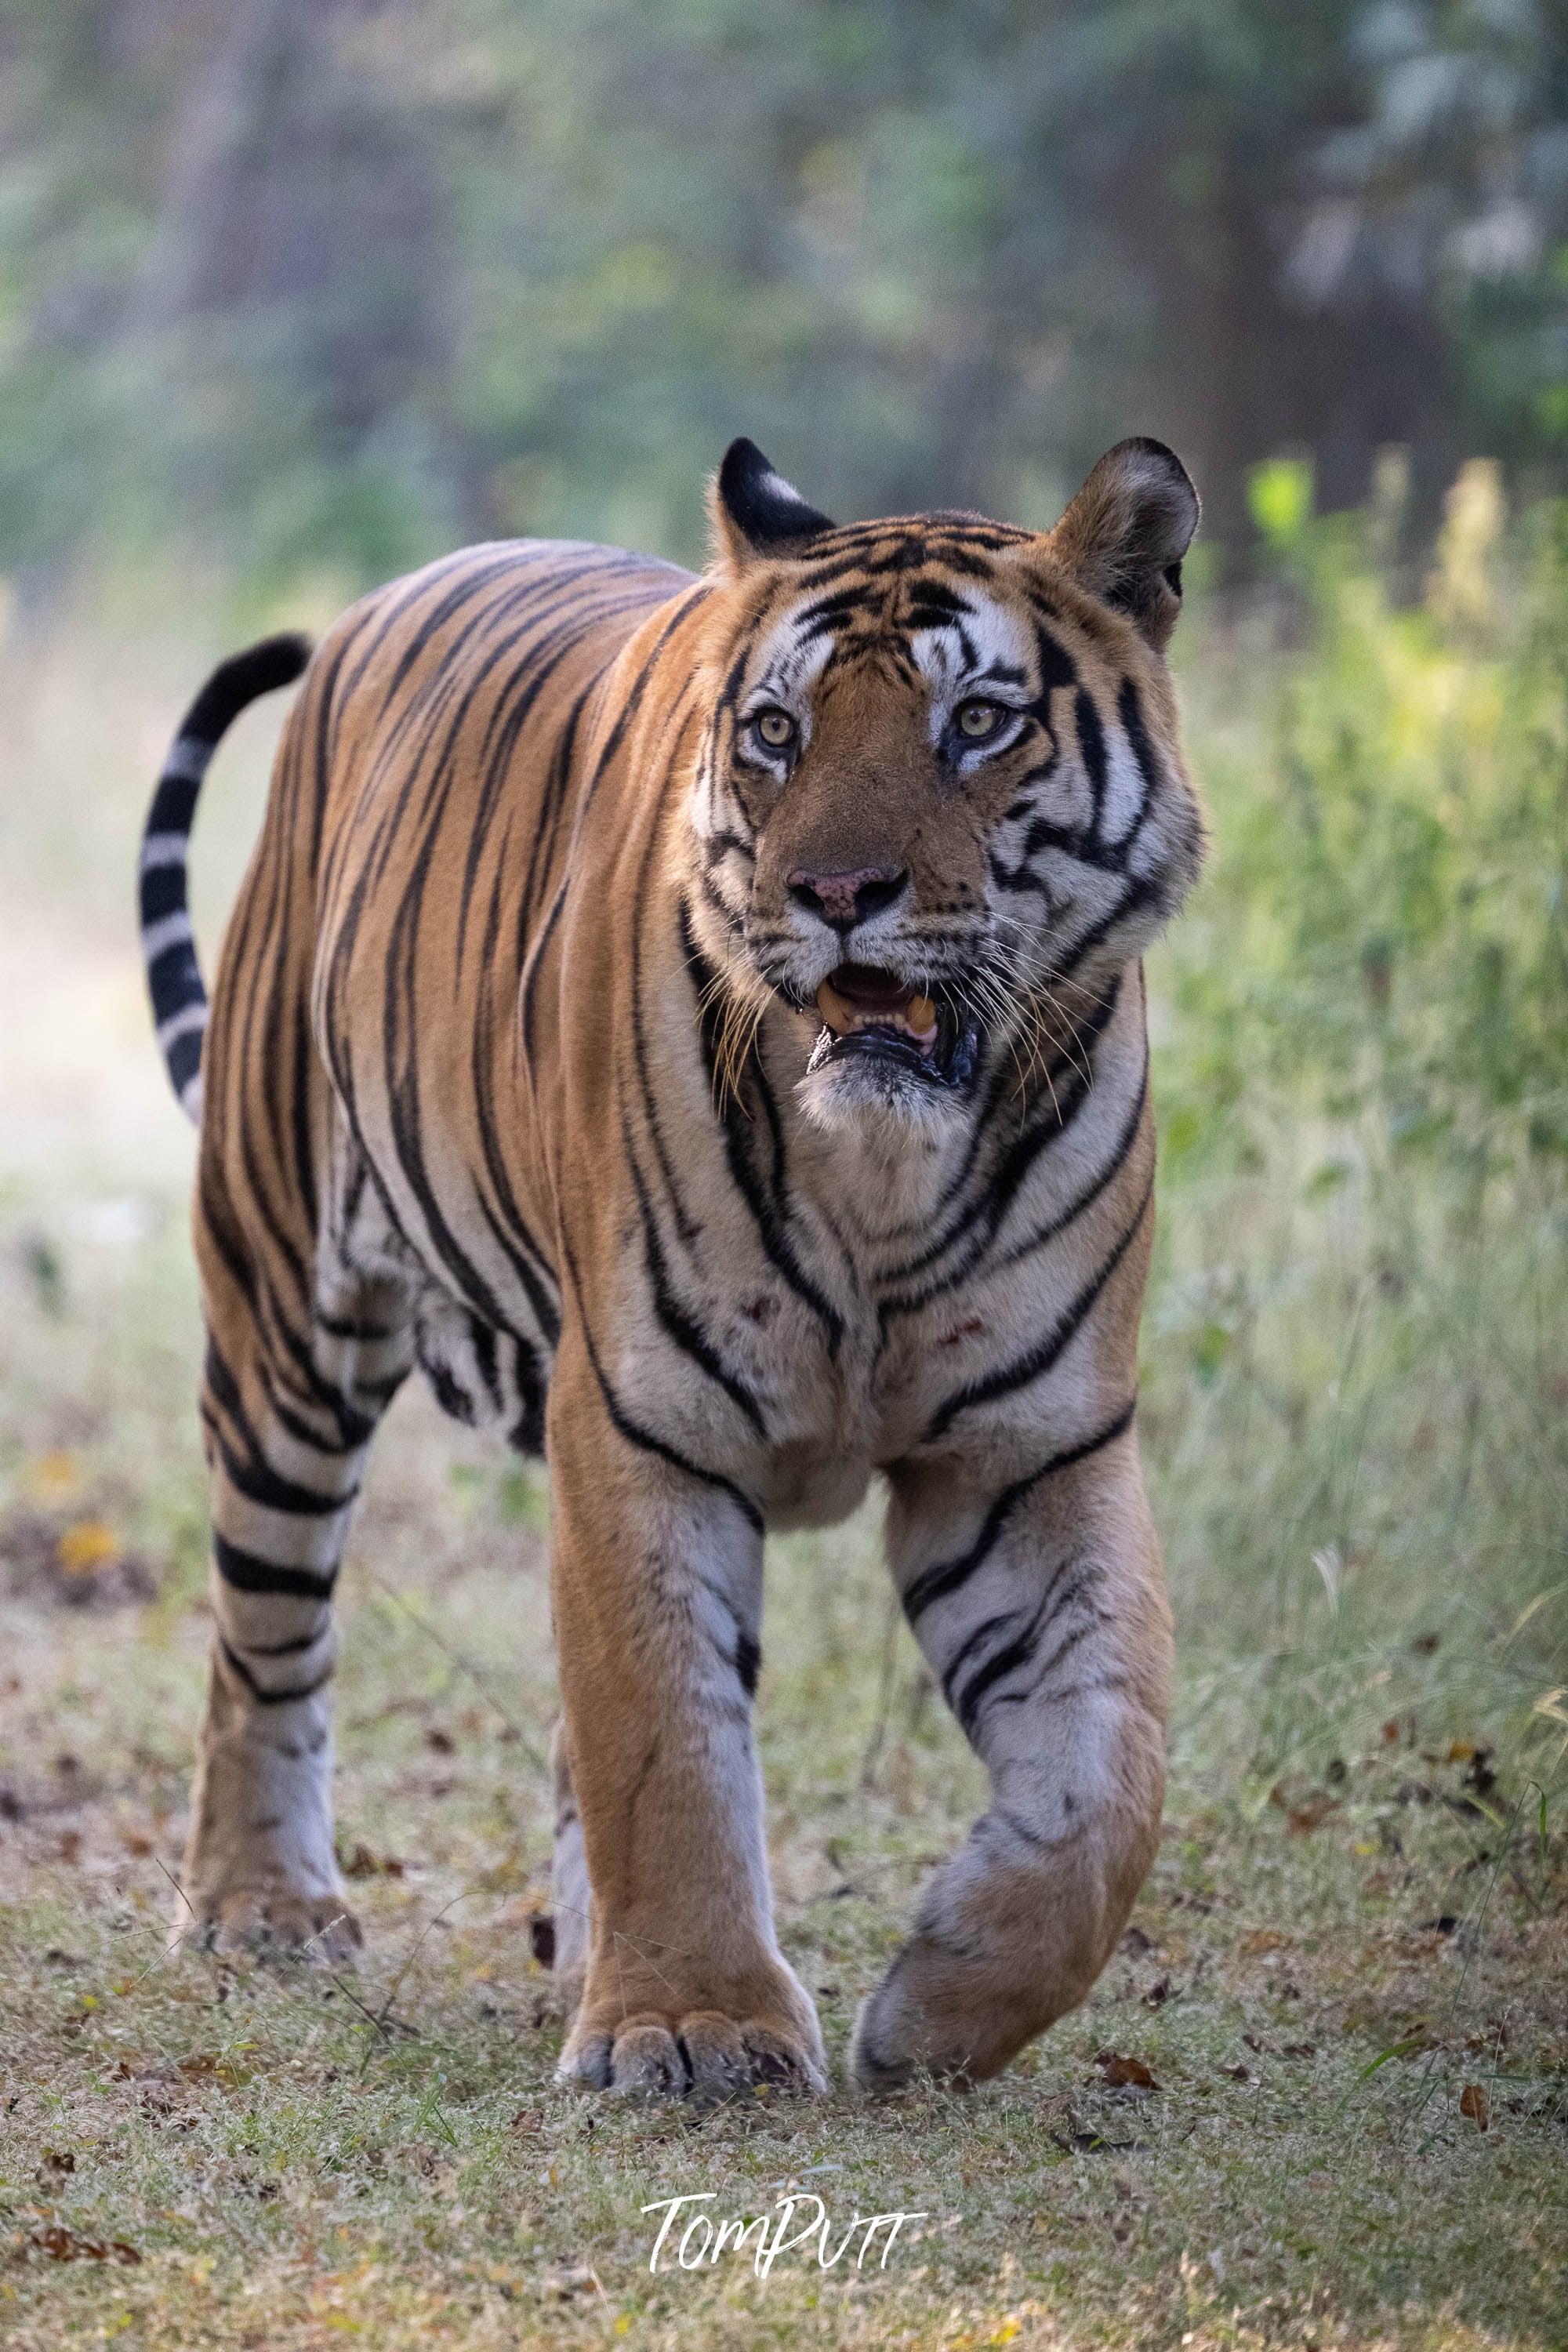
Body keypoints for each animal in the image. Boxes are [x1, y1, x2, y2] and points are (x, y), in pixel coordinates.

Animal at [139, 433, 1203, 2098]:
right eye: (777, 732)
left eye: (977, 723)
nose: (837, 894)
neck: (881, 1174)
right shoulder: (642, 1417)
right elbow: (665, 1737)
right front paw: (694, 2028)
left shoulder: (1032, 1449)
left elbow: (1111, 1775)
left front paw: (942, 2006)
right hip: (284, 1315)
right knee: (265, 1636)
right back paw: (263, 1911)